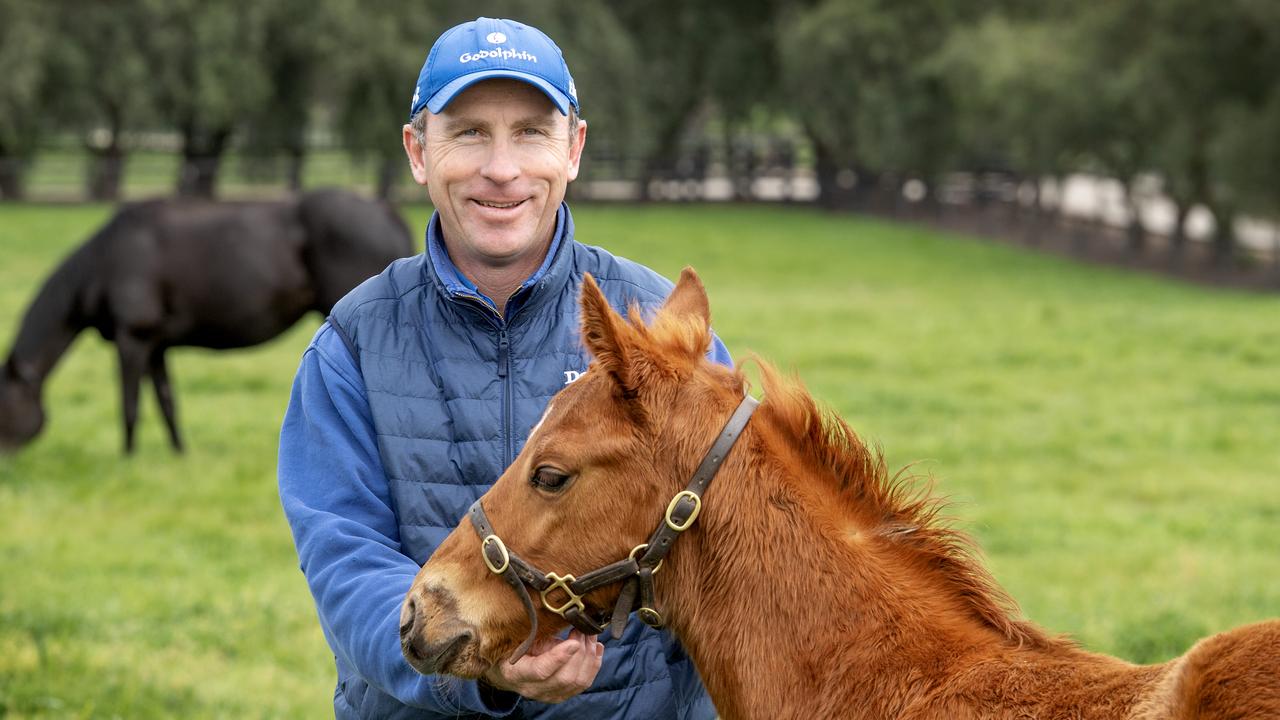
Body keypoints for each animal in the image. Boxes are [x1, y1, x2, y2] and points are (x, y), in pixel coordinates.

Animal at [0, 188, 409, 450]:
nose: (8, 463)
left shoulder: (132, 340)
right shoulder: (155, 346)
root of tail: (383, 209)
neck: (108, 259)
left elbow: (130, 406)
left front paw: (127, 459)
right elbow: (166, 404)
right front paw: (178, 455)